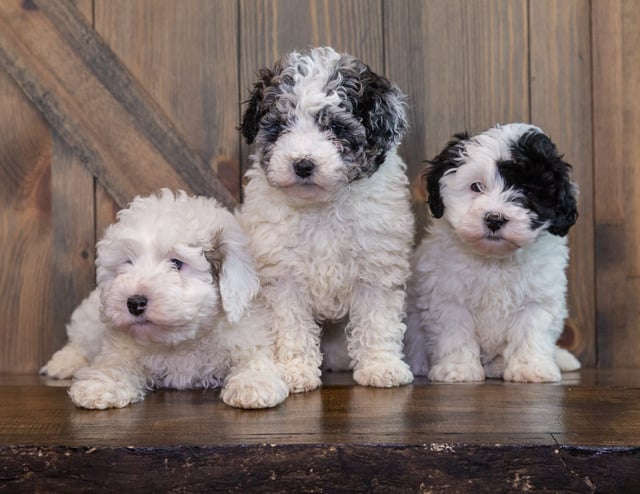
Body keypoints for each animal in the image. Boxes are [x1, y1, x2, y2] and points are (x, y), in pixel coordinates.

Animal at [40, 189, 288, 410]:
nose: (134, 302)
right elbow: (114, 363)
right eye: (128, 262)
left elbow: (253, 357)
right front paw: (100, 386)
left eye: (177, 263)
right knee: (80, 338)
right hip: (92, 315)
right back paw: (64, 363)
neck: (182, 341)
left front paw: (253, 384)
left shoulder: (247, 335)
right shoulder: (121, 347)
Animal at [236, 47, 416, 394]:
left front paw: (380, 366)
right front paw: (294, 370)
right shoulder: (281, 276)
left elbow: (377, 321)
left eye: (335, 128)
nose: (303, 164)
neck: (320, 207)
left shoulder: (377, 267)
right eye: (280, 127)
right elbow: (290, 324)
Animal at [408, 122, 584, 382]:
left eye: (526, 191)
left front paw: (531, 367)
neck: (494, 260)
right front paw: (458, 368)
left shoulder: (538, 298)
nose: (494, 219)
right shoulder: (448, 297)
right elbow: (455, 332)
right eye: (476, 186)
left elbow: (531, 331)